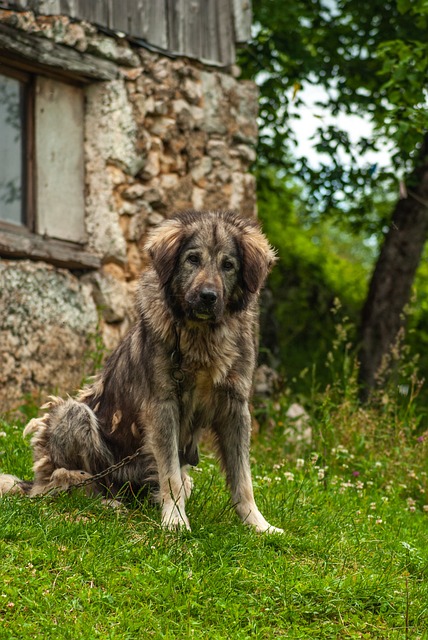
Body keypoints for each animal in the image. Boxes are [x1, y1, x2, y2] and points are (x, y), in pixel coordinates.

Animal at [0, 210, 284, 536]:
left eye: (228, 265)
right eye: (193, 259)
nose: (208, 296)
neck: (201, 336)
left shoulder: (235, 407)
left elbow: (243, 479)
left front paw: (258, 524)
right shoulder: (163, 405)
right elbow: (171, 474)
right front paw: (175, 519)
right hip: (74, 416)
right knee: (66, 482)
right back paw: (102, 501)